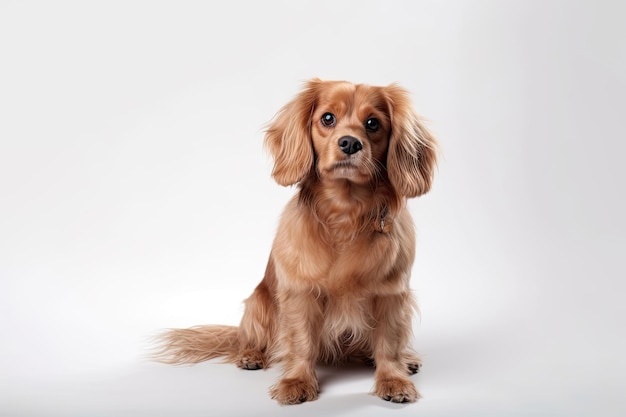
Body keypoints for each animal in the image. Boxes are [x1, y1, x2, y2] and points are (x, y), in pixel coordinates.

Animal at [155, 78, 436, 404]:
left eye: (373, 123)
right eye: (327, 118)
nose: (350, 143)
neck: (346, 213)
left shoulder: (391, 295)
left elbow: (388, 344)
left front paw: (393, 379)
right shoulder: (301, 294)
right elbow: (302, 343)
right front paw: (297, 381)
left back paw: (405, 360)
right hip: (259, 303)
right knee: (251, 339)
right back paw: (251, 355)